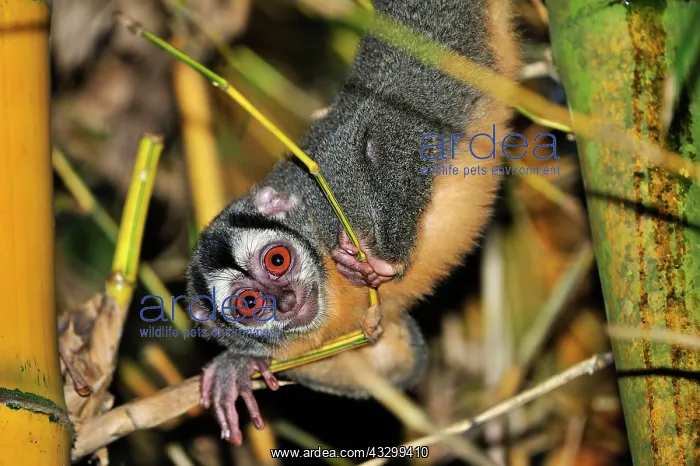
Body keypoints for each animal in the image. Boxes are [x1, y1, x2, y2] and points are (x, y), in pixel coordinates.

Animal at [186, 0, 520, 446]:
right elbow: (400, 364)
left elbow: (383, 133)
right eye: (250, 303)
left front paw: (383, 265)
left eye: (277, 260)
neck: (331, 285)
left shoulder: (331, 185)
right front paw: (237, 366)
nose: (287, 300)